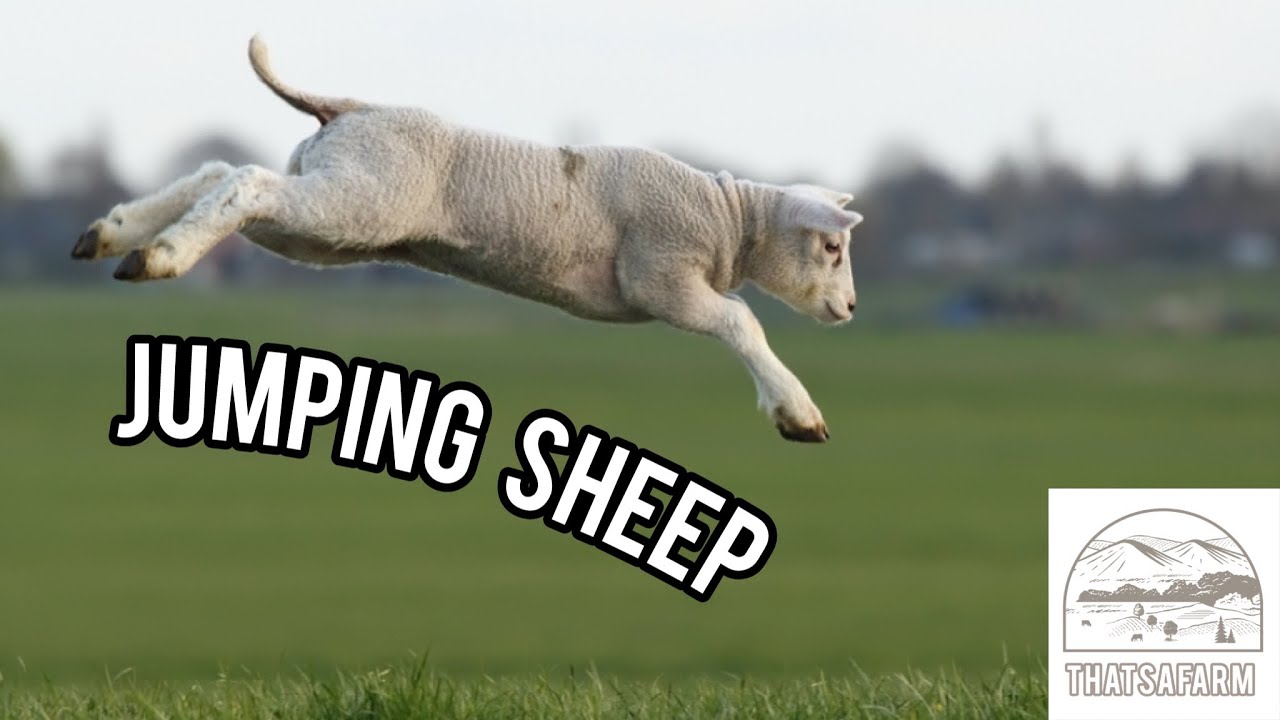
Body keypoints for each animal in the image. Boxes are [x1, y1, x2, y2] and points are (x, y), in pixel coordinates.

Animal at [71, 36, 863, 442]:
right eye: (832, 249)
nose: (852, 310)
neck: (727, 216)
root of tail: (349, 108)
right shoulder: (661, 278)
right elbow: (741, 320)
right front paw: (798, 412)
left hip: (330, 214)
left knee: (222, 173)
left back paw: (117, 237)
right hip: (356, 201)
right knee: (248, 181)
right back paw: (161, 255)